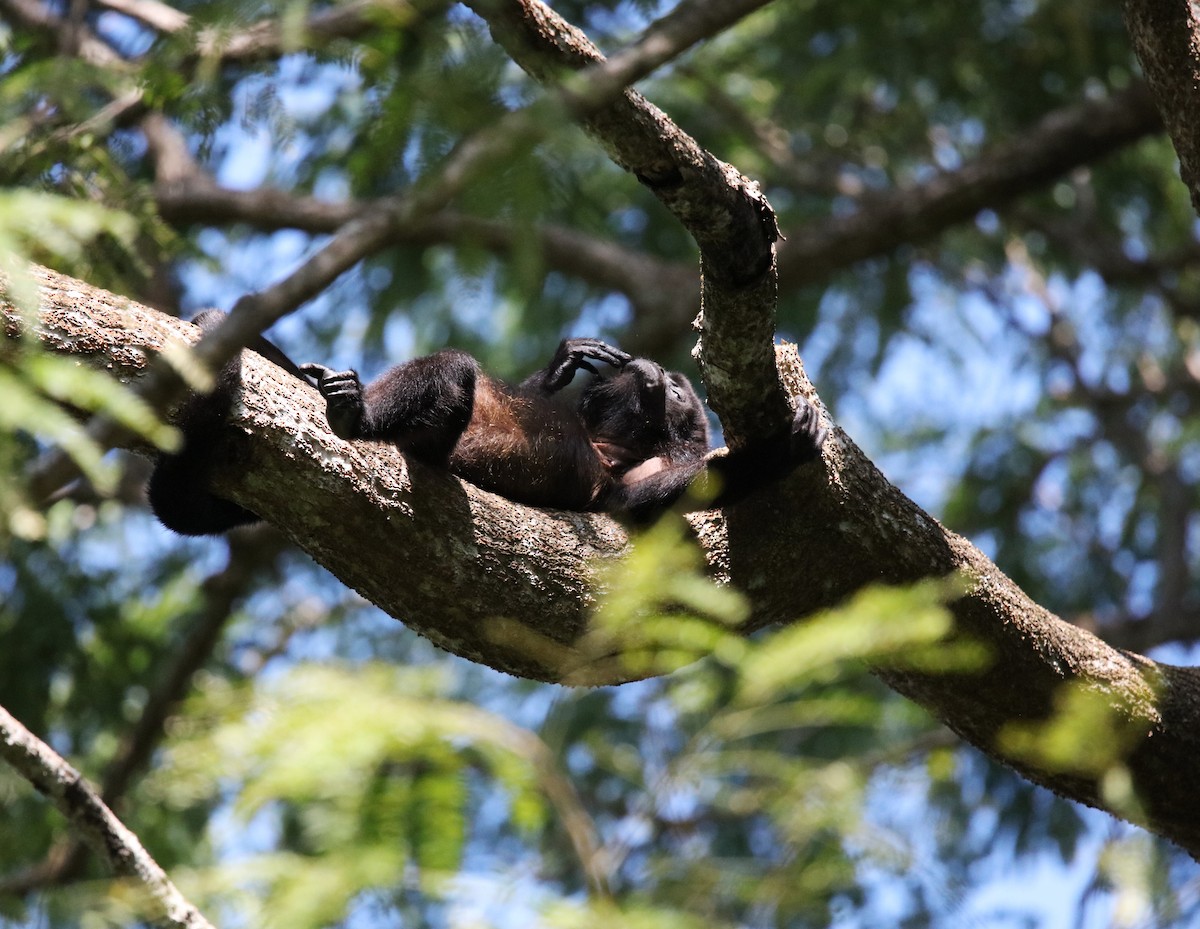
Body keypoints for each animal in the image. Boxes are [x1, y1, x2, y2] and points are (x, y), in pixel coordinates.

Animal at [147, 311, 827, 535]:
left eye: (683, 392)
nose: (661, 372)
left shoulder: (641, 474)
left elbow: (677, 492)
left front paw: (791, 446)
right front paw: (562, 365)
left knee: (453, 370)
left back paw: (354, 413)